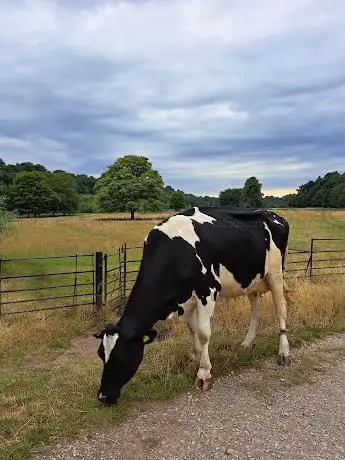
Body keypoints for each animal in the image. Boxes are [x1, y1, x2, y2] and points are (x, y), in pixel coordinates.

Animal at [92, 207, 288, 404]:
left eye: (119, 356)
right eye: (101, 354)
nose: (103, 396)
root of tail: (271, 214)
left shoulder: (208, 291)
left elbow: (203, 333)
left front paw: (204, 373)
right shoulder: (186, 300)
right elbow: (193, 330)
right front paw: (198, 358)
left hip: (276, 274)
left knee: (281, 310)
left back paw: (284, 353)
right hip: (253, 281)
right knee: (255, 312)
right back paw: (247, 343)